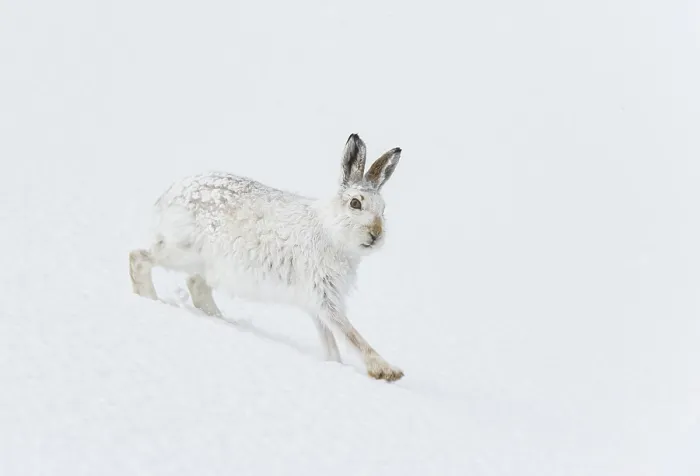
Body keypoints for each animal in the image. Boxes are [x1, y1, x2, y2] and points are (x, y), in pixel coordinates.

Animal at [129, 133, 404, 381]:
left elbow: (331, 340)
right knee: (138, 257)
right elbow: (350, 333)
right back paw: (151, 299)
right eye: (355, 203)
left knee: (196, 285)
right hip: (182, 251)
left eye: (383, 210)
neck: (330, 231)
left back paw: (222, 320)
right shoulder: (324, 296)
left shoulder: (318, 303)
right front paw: (387, 371)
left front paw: (335, 364)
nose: (376, 234)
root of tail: (168, 196)